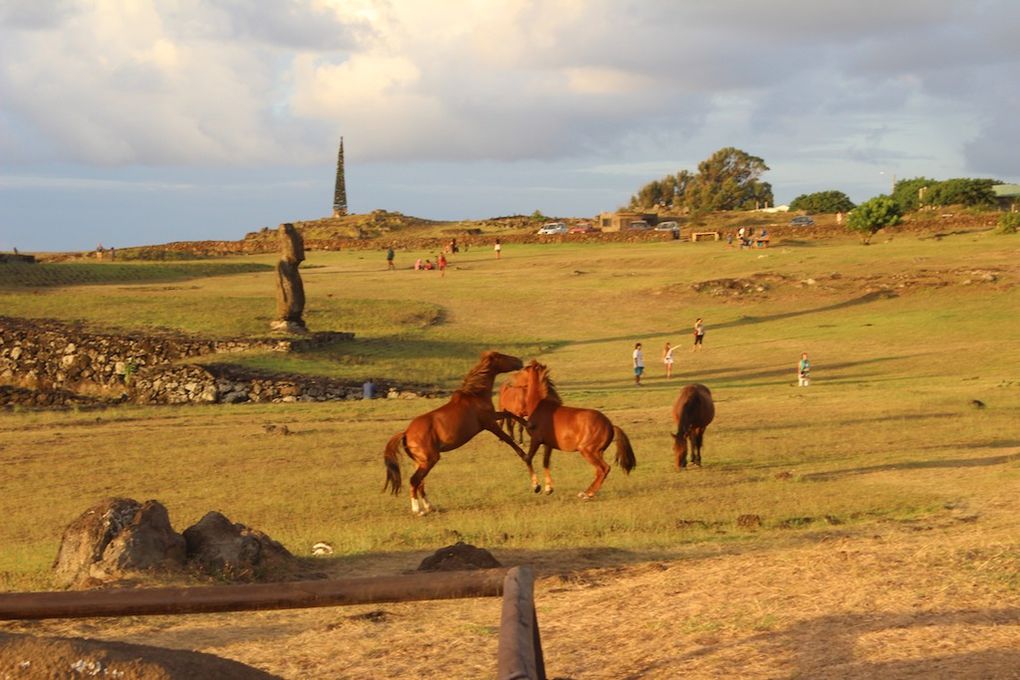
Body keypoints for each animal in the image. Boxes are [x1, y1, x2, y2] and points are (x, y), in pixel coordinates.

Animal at [379, 350, 530, 515]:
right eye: (502, 356)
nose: (520, 361)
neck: (474, 394)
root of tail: (406, 433)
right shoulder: (489, 423)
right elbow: (508, 438)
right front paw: (524, 453)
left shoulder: (493, 416)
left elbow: (509, 414)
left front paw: (527, 424)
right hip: (430, 460)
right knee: (414, 481)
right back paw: (418, 510)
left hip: (420, 462)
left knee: (420, 483)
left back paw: (430, 507)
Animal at [514, 360, 632, 499]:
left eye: (523, 369)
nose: (512, 381)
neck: (539, 406)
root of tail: (610, 425)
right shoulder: (548, 444)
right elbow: (545, 462)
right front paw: (548, 488)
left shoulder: (536, 439)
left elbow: (527, 458)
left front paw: (536, 487)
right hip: (597, 452)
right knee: (599, 471)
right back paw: (587, 492)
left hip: (587, 450)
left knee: (604, 469)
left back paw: (587, 494)